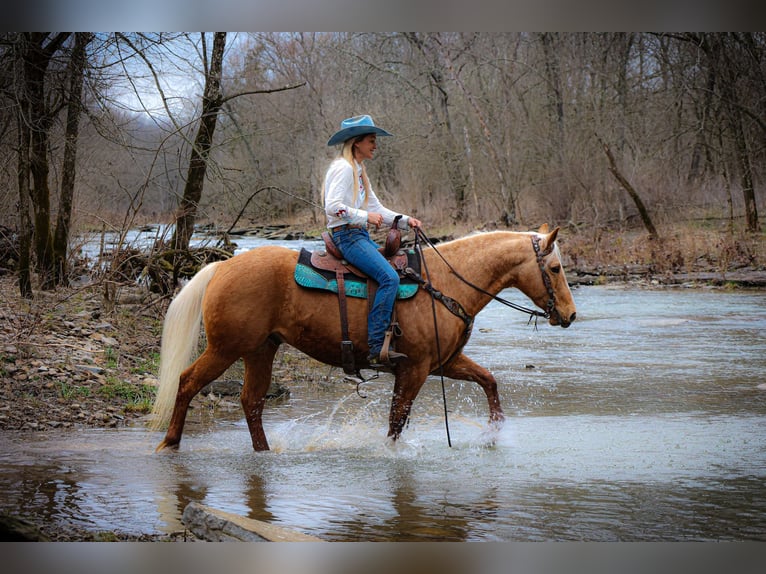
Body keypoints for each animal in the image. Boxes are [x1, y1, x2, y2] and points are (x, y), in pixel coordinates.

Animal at [152, 227, 576, 452]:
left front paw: (494, 432)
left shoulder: (444, 363)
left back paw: (264, 452)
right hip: (225, 348)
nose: (570, 315)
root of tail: (222, 266)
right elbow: (396, 419)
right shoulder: (415, 369)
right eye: (555, 268)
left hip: (261, 350)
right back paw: (170, 443)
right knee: (187, 382)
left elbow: (488, 380)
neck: (444, 283)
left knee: (251, 401)